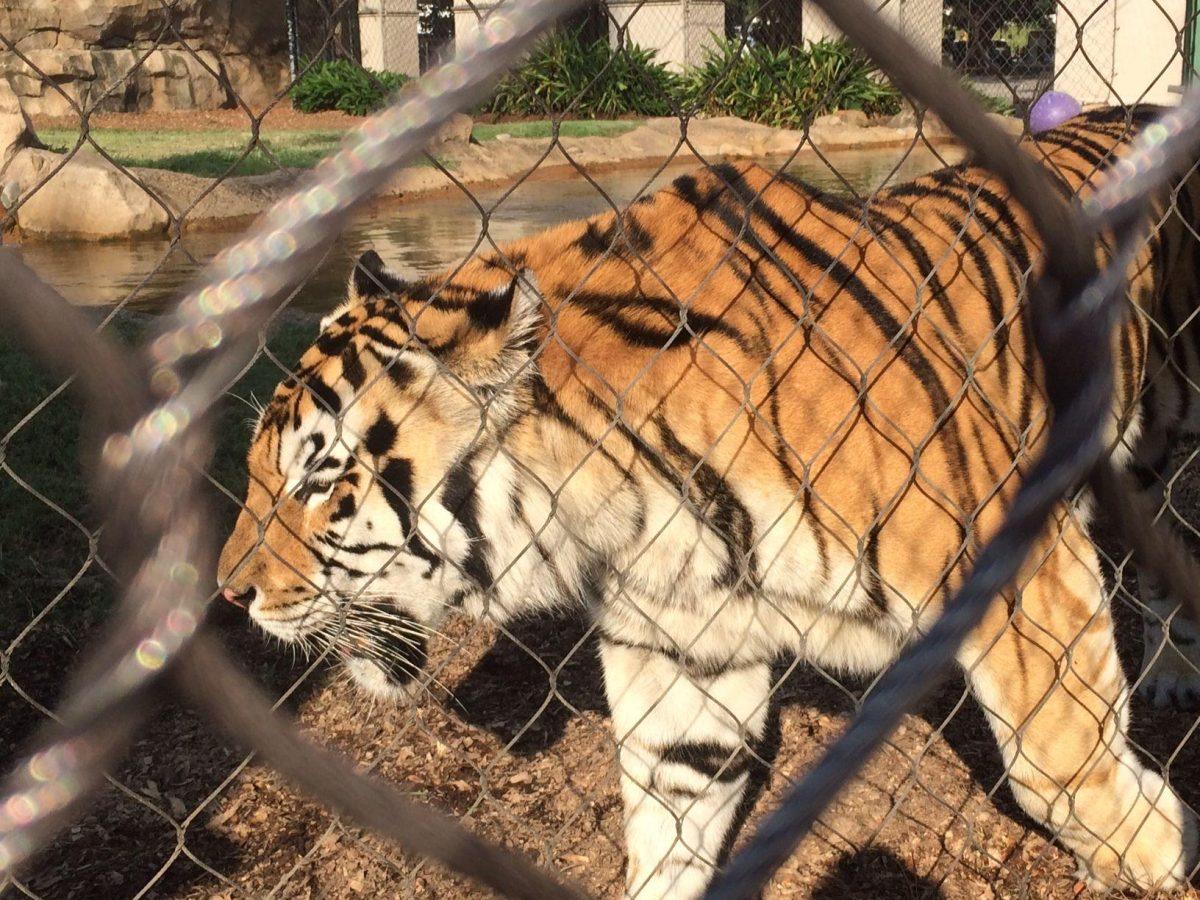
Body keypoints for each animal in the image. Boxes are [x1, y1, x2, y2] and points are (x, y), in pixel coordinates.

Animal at [218, 107, 1200, 900]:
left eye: (318, 479)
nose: (232, 594)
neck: (616, 519)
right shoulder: (683, 645)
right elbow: (671, 804)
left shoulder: (1017, 557)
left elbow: (1057, 755)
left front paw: (1157, 849)